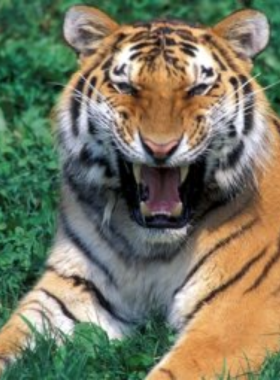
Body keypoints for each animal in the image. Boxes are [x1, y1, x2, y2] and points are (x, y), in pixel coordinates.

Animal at [0, 4, 280, 378]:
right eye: (126, 86)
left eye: (198, 88)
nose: (160, 148)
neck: (149, 250)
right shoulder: (69, 289)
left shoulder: (238, 312)